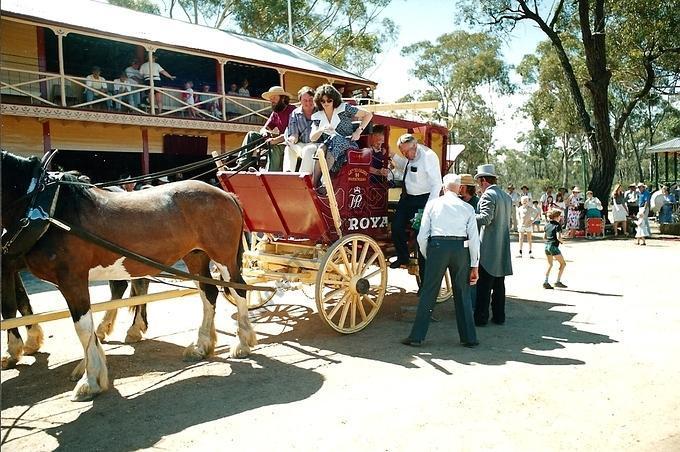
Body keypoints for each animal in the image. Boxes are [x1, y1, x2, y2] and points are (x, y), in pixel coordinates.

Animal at [1, 153, 256, 402]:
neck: (47, 208)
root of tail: (225, 194)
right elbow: (86, 329)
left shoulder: (72, 280)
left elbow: (82, 328)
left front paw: (89, 381)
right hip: (195, 256)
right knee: (208, 293)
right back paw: (202, 346)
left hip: (223, 257)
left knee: (238, 290)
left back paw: (243, 343)